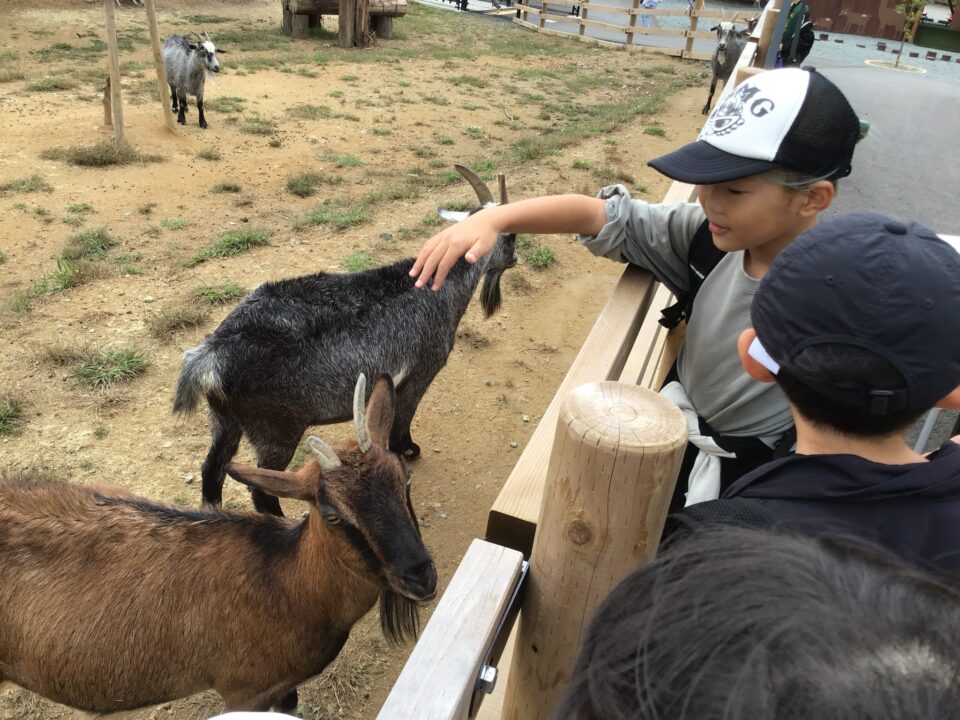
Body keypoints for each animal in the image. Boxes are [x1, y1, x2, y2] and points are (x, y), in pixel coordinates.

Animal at [0, 374, 436, 715]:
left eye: (404, 479)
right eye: (332, 514)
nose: (421, 576)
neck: (285, 580)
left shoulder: (281, 686)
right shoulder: (243, 691)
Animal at [173, 164, 517, 516]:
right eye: (512, 235)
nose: (515, 260)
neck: (437, 284)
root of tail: (212, 353)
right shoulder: (420, 373)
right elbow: (403, 419)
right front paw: (409, 450)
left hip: (224, 421)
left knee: (211, 471)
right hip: (276, 431)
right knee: (262, 490)